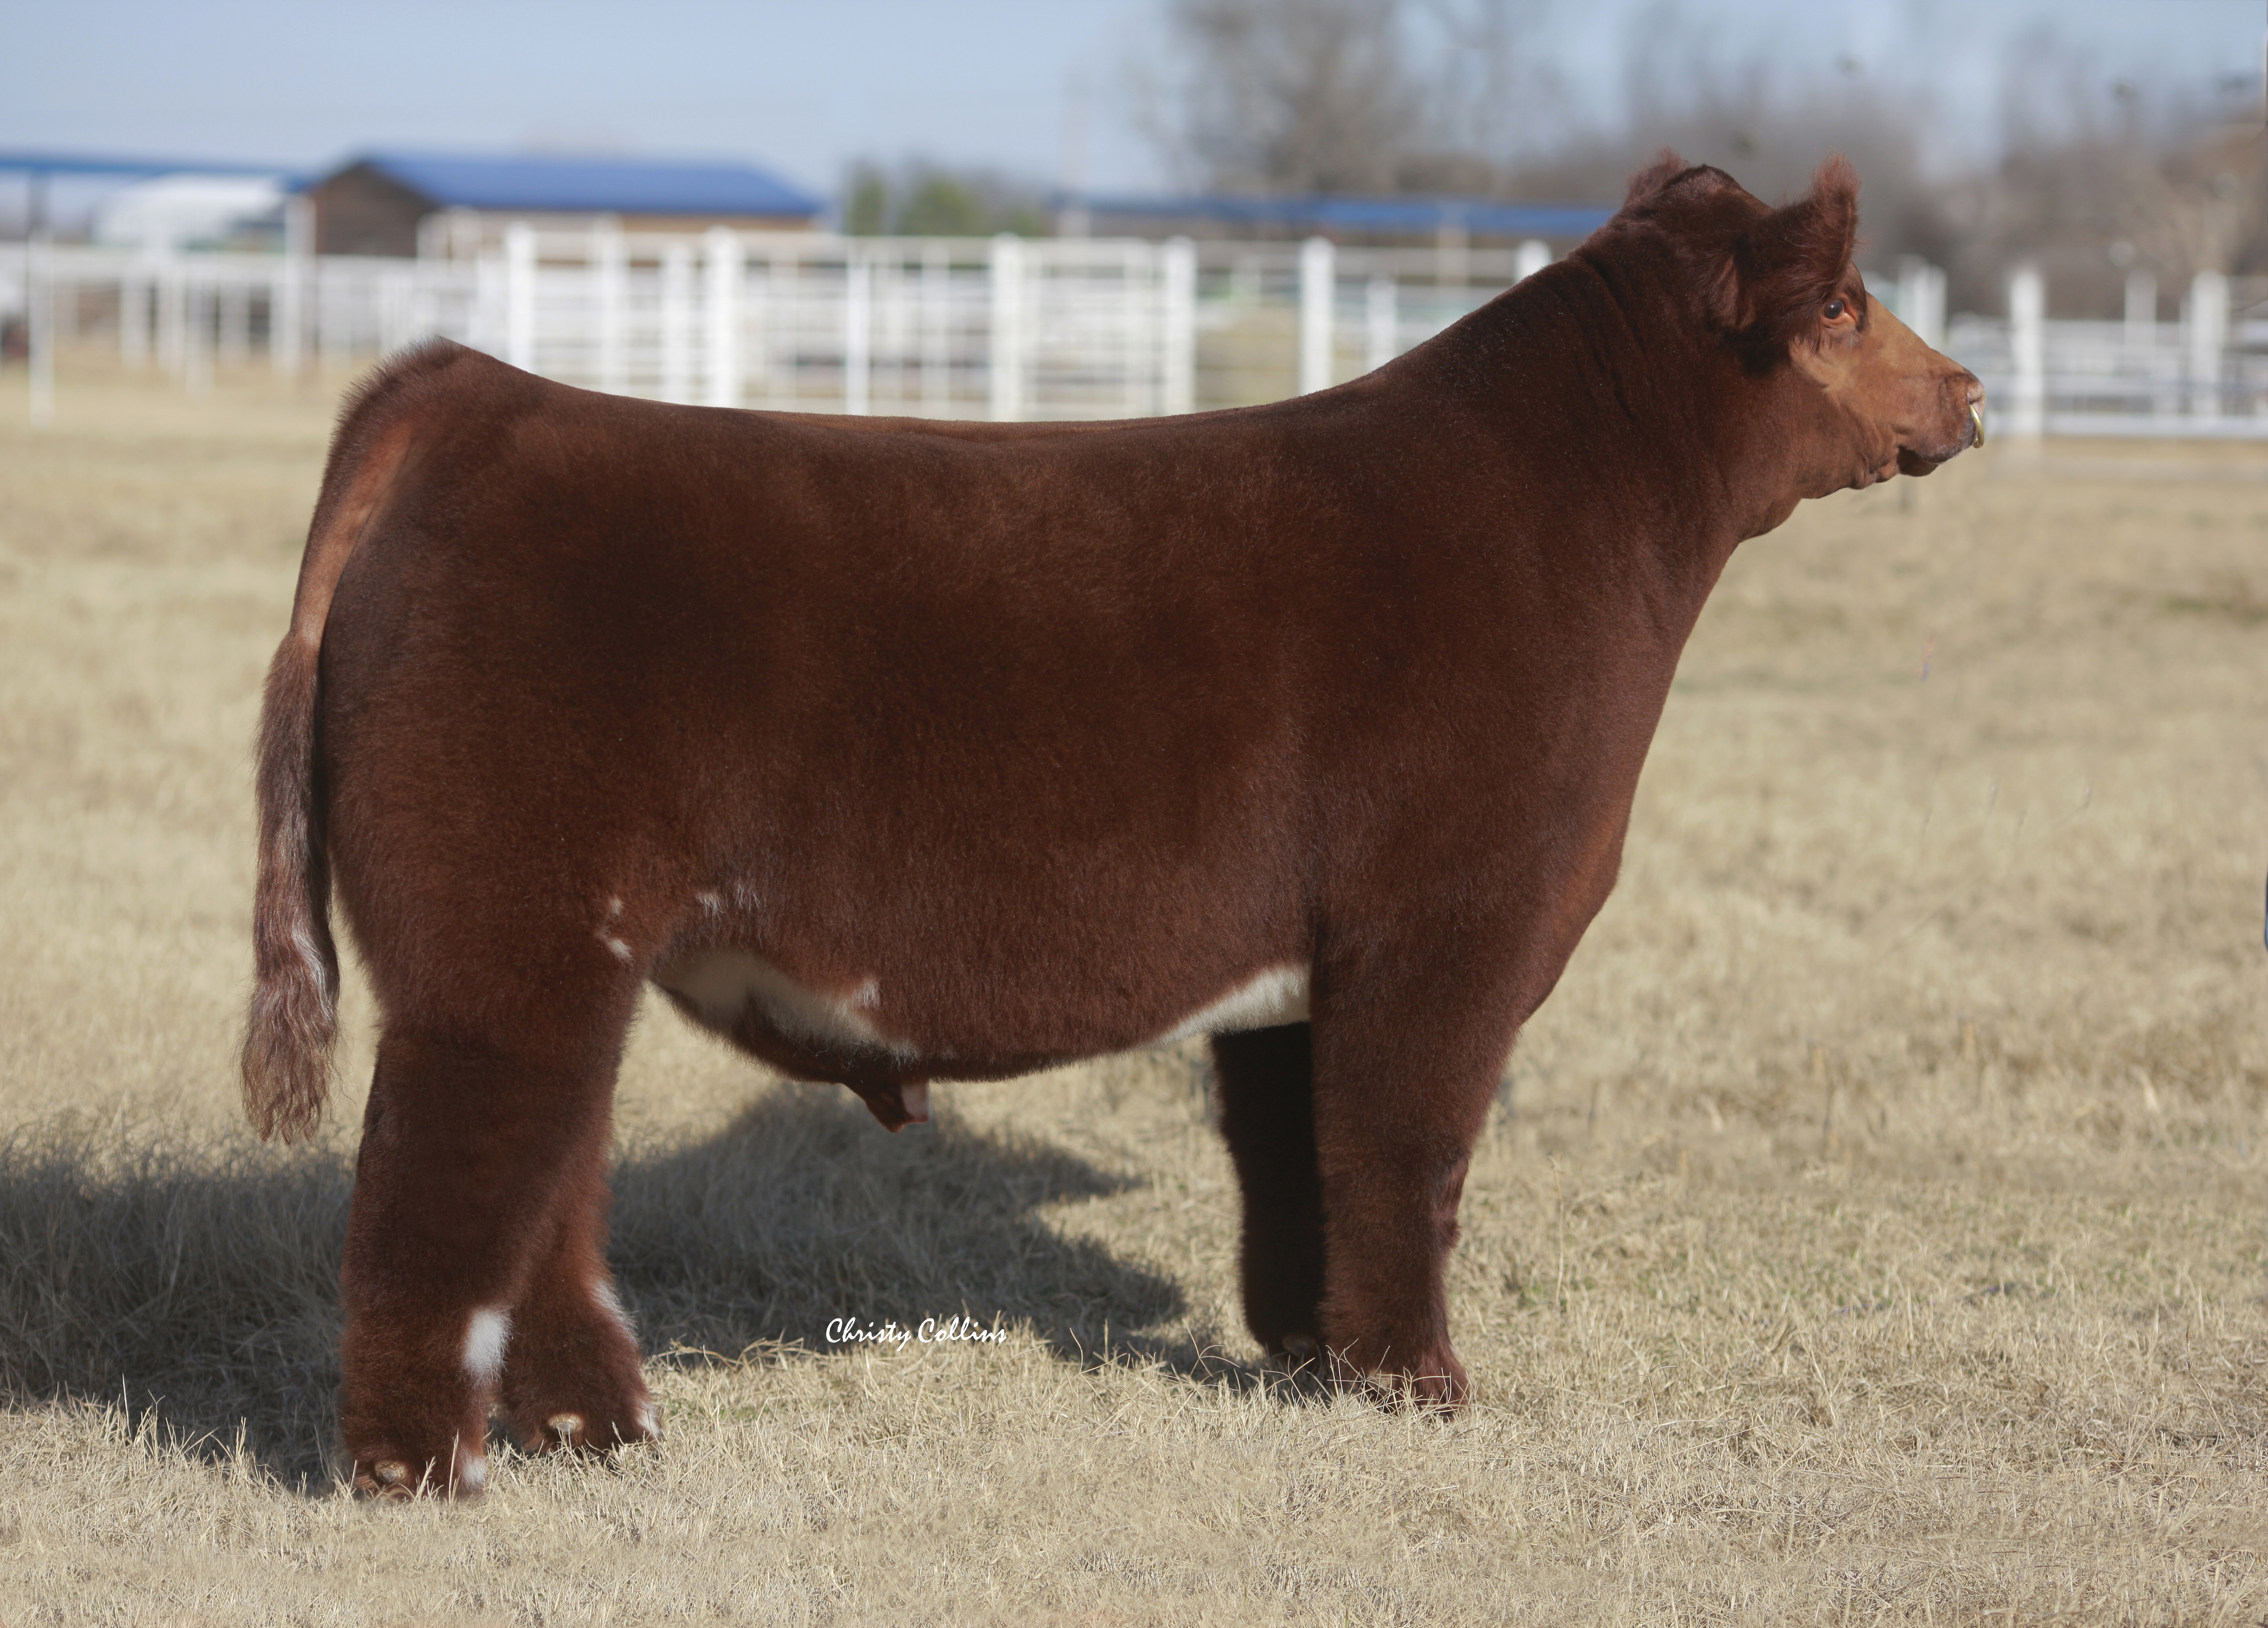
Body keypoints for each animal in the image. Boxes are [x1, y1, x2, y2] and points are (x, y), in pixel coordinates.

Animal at [242, 153, 1983, 1497]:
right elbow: (1408, 1151)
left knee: (545, 1188)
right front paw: (1421, 1382)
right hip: (502, 942)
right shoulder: (1448, 930)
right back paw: (428, 1472)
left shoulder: (1297, 974)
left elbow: (1298, 1163)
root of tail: (477, 395)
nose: (1969, 389)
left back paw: (597, 1431)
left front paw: (1313, 1356)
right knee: (437, 1187)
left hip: (559, 963)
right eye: (1840, 306)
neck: (1579, 523)